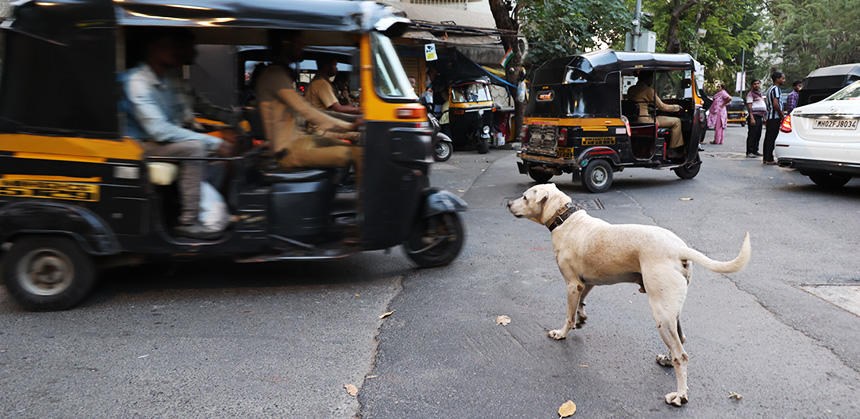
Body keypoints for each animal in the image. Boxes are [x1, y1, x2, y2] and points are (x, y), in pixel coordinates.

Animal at [508, 184, 748, 406]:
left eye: (525, 197)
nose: (508, 204)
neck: (565, 218)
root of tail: (680, 249)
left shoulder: (571, 284)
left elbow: (568, 314)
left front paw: (562, 332)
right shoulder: (586, 282)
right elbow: (581, 304)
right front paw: (581, 318)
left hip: (661, 314)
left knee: (682, 355)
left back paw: (680, 395)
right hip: (672, 312)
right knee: (681, 340)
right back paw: (667, 360)